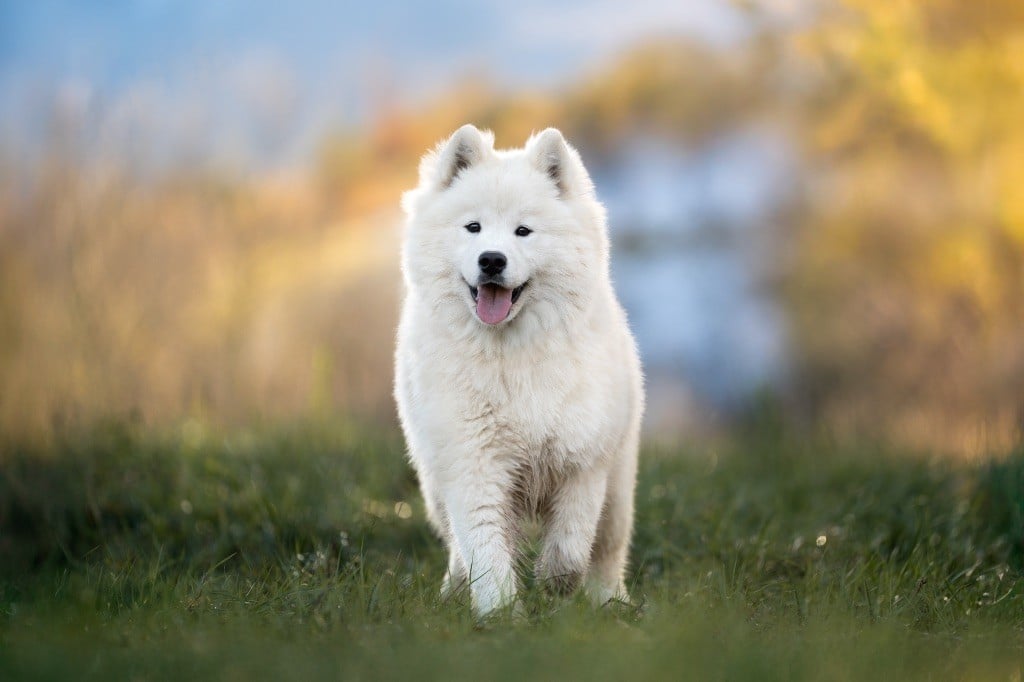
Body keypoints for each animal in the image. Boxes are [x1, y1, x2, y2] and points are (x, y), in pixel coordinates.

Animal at [393, 123, 643, 614]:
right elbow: (485, 547)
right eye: (473, 227)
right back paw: (453, 592)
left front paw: (554, 585)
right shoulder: (473, 461)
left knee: (608, 550)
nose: (492, 259)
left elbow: (571, 547)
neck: (510, 352)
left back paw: (612, 602)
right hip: (435, 482)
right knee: (458, 549)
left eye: (523, 231)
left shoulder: (582, 463)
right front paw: (500, 613)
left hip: (619, 487)